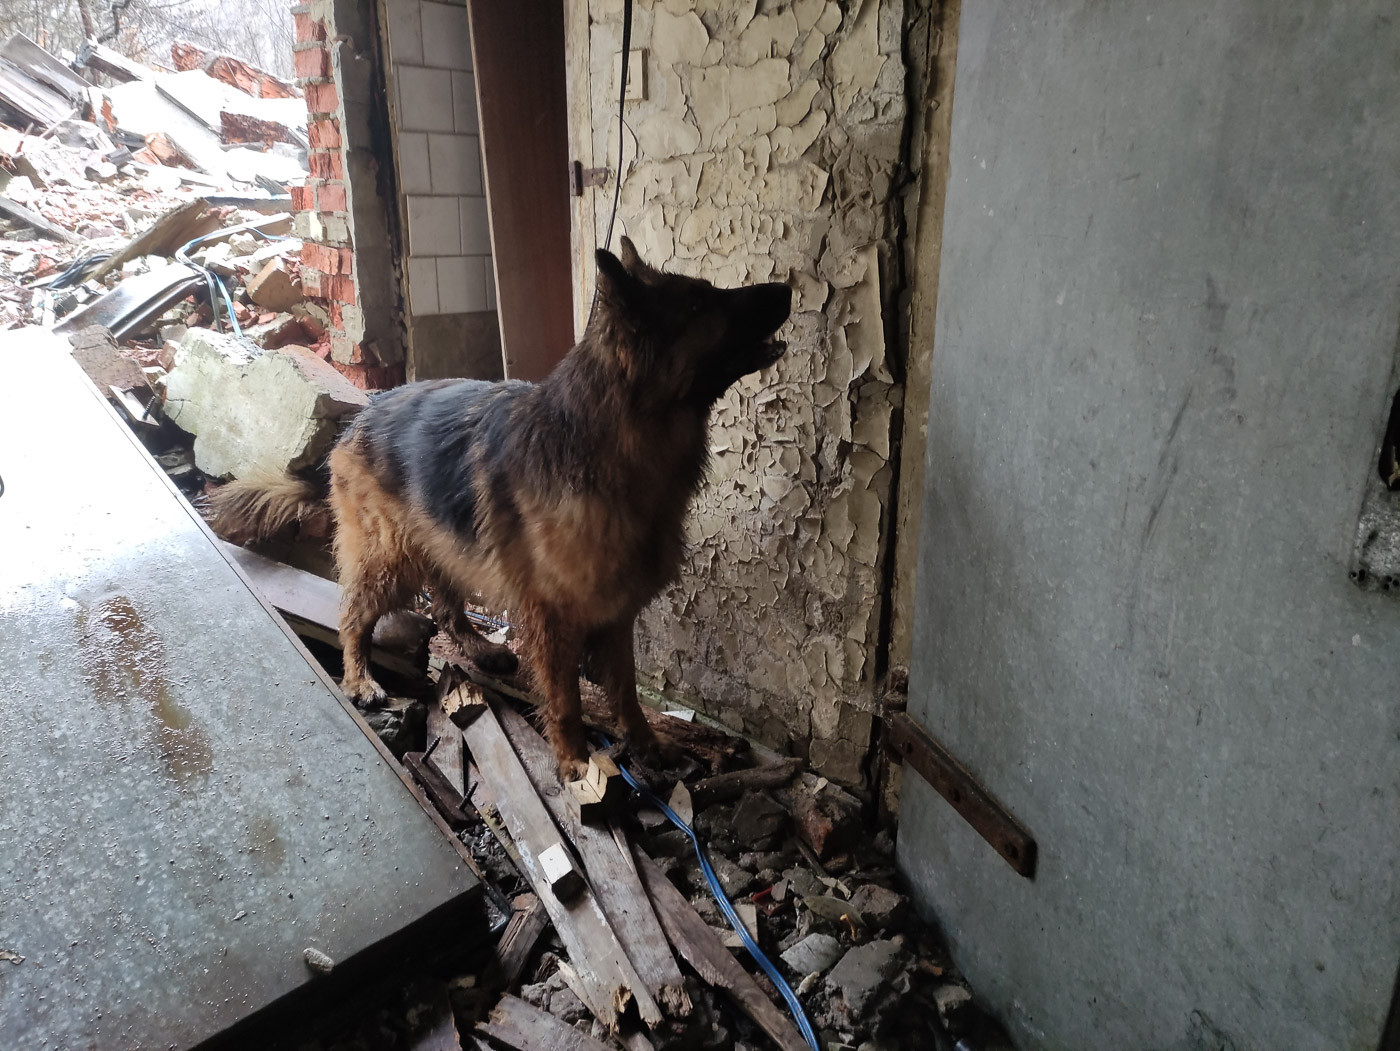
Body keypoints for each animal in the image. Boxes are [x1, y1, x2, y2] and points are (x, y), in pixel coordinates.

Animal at [211, 237, 793, 778]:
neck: (611, 441)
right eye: (699, 304)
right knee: (354, 616)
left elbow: (626, 691)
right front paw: (575, 763)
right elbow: (566, 699)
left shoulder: (617, 610)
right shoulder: (552, 619)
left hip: (442, 543)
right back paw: (359, 679)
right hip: (388, 557)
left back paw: (478, 647)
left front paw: (645, 743)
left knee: (445, 604)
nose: (787, 288)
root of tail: (360, 416)